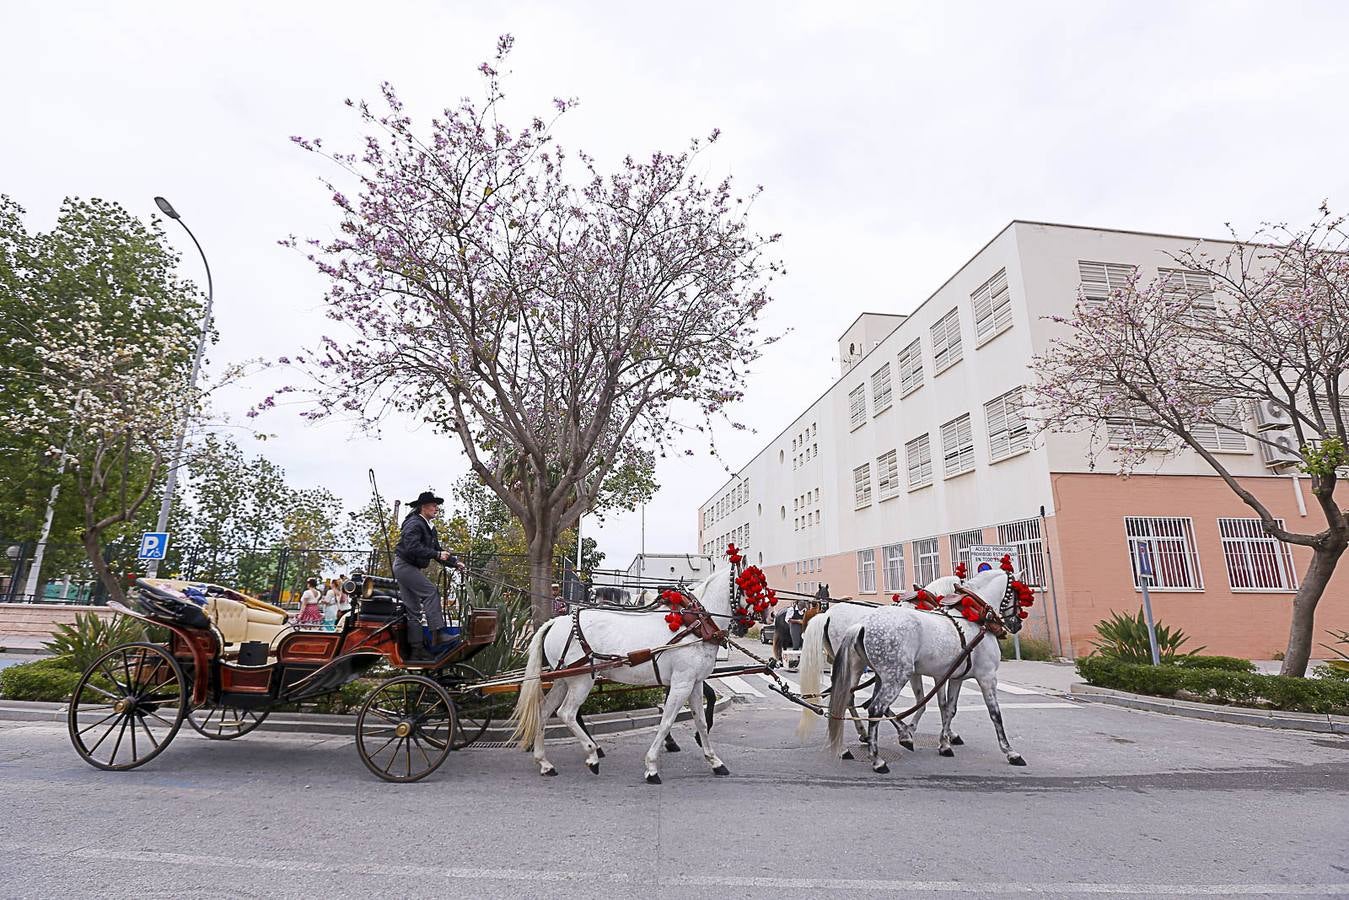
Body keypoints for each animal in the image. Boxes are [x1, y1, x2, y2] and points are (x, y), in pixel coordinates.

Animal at [507, 574, 739, 782]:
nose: (745, 626)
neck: (695, 625)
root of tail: (554, 622)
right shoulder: (681, 683)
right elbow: (666, 721)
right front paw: (652, 768)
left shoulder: (694, 682)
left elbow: (700, 721)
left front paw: (715, 761)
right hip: (582, 680)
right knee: (567, 713)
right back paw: (592, 754)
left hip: (564, 679)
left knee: (545, 711)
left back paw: (545, 763)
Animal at [825, 569, 1025, 777]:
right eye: (1018, 593)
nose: (1017, 624)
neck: (974, 618)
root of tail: (863, 624)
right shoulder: (986, 677)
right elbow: (995, 714)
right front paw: (1010, 752)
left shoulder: (954, 677)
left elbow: (948, 708)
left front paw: (944, 743)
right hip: (897, 676)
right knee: (875, 708)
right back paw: (877, 759)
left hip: (870, 673)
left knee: (848, 700)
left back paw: (850, 745)